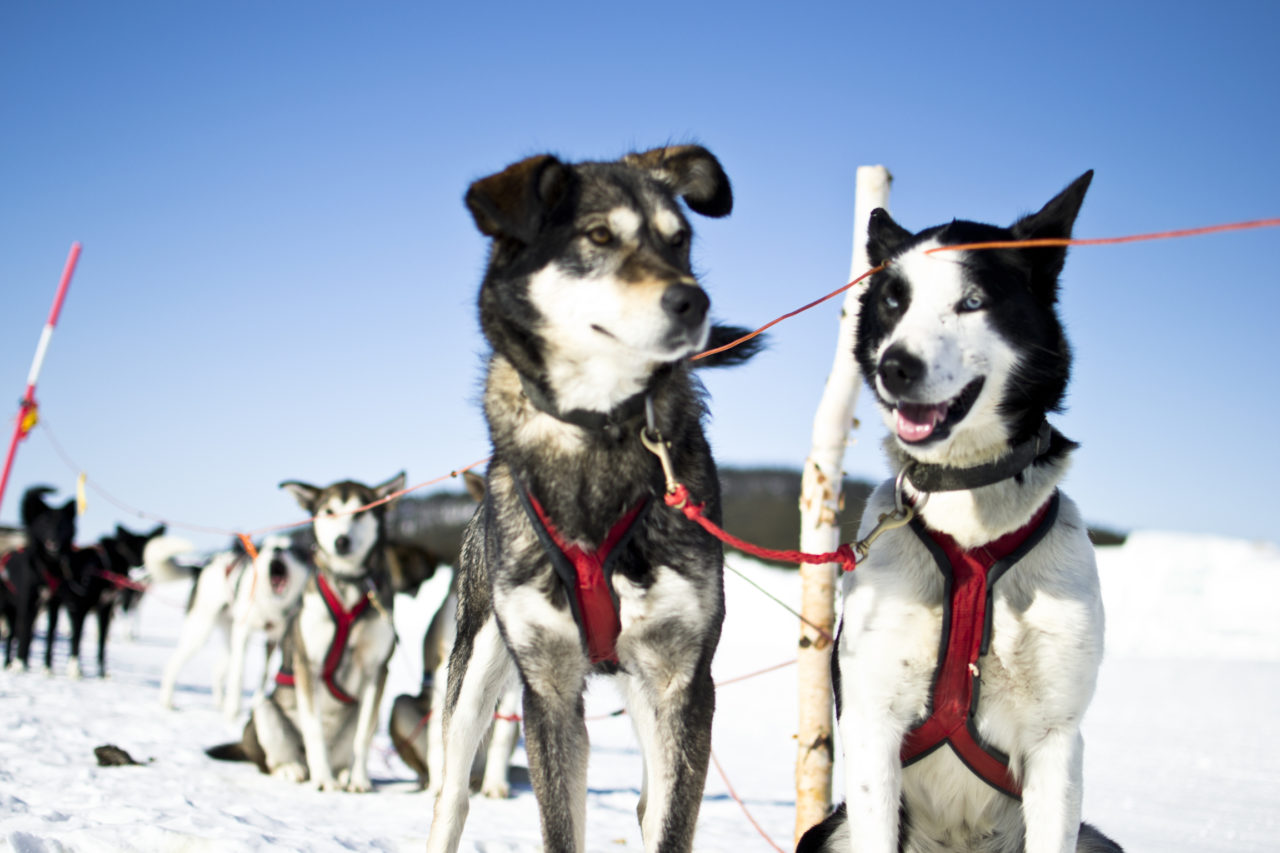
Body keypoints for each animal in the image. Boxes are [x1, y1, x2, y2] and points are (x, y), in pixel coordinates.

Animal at [209, 468, 407, 788]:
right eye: (328, 511)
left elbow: (364, 736)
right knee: (273, 758)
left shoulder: (376, 669)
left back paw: (342, 772)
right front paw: (323, 779)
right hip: (265, 709)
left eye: (361, 511)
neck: (348, 587)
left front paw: (359, 779)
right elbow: (314, 730)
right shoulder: (308, 665)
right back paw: (294, 768)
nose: (341, 541)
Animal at [422, 146, 757, 850]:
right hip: (474, 671)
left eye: (679, 240)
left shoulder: (682, 682)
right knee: (451, 796)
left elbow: (669, 825)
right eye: (599, 236)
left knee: (649, 802)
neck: (597, 440)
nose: (694, 300)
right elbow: (559, 828)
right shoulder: (547, 689)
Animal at [798, 174, 1121, 850]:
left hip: (1097, 838)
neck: (970, 526)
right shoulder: (873, 725)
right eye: (893, 303)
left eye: (972, 301)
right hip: (829, 830)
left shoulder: (1057, 740)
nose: (895, 365)